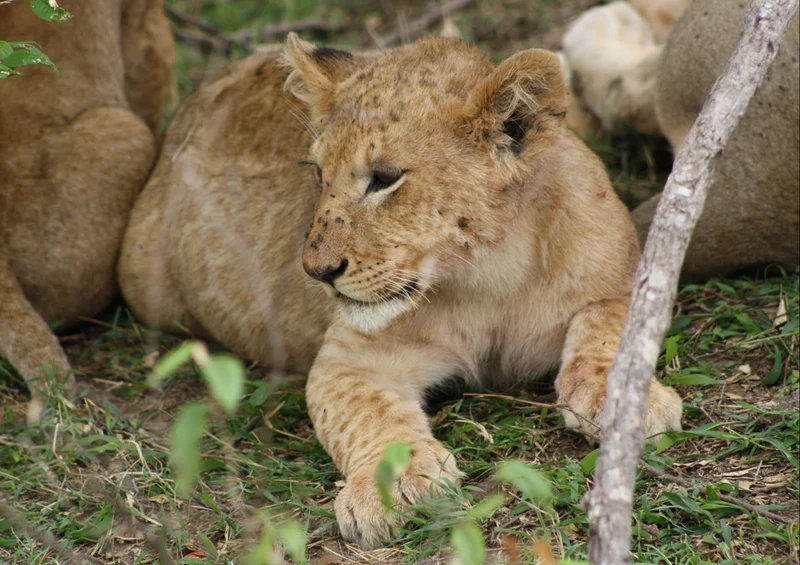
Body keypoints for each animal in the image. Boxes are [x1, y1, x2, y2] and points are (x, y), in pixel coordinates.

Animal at [118, 34, 682, 548]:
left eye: (385, 178)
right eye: (317, 173)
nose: (317, 271)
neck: (489, 276)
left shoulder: (626, 279)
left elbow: (606, 325)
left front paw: (619, 397)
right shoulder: (347, 359)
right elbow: (369, 413)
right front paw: (396, 482)